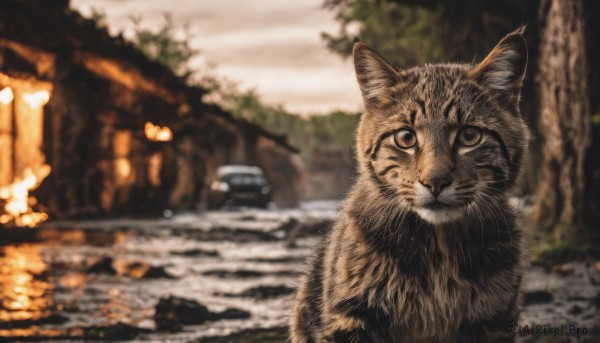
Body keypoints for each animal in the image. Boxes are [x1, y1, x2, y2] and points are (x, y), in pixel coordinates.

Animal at [290, 26, 528, 343]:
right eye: (405, 138)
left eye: (469, 137)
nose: (435, 182)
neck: (440, 246)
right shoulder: (351, 316)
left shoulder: (495, 318)